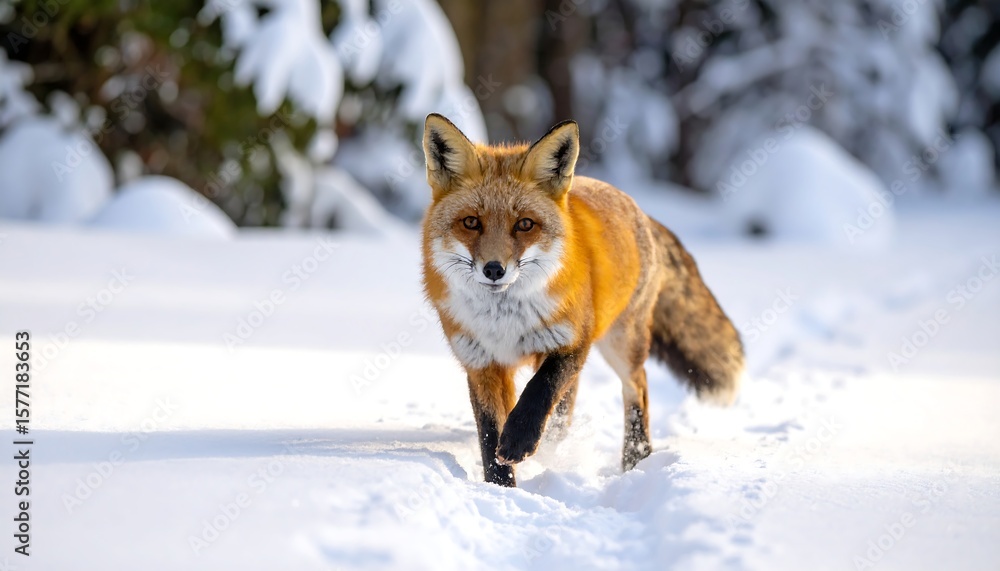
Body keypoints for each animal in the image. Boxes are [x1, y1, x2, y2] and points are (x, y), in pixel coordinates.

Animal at [421, 113, 745, 487]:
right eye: (471, 222)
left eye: (525, 224)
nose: (494, 270)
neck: (503, 321)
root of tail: (638, 209)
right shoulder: (480, 361)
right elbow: (489, 430)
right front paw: (501, 486)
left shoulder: (574, 339)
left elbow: (541, 388)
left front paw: (519, 440)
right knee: (569, 407)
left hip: (622, 342)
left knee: (637, 386)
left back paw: (635, 457)